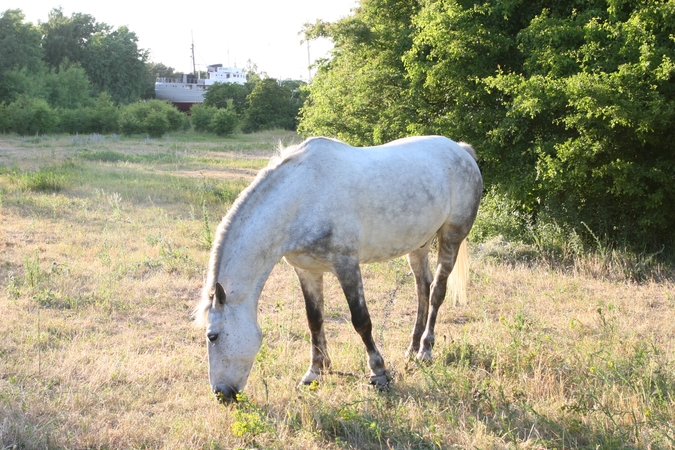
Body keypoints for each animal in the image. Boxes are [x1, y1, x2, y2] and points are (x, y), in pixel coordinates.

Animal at [193, 134, 484, 400]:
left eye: (212, 336)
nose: (221, 394)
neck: (302, 197)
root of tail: (461, 150)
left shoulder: (346, 266)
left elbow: (361, 320)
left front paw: (379, 373)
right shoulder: (307, 270)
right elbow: (314, 319)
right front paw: (314, 373)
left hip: (451, 237)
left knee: (437, 291)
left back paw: (425, 351)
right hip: (419, 244)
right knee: (422, 289)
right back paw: (411, 351)